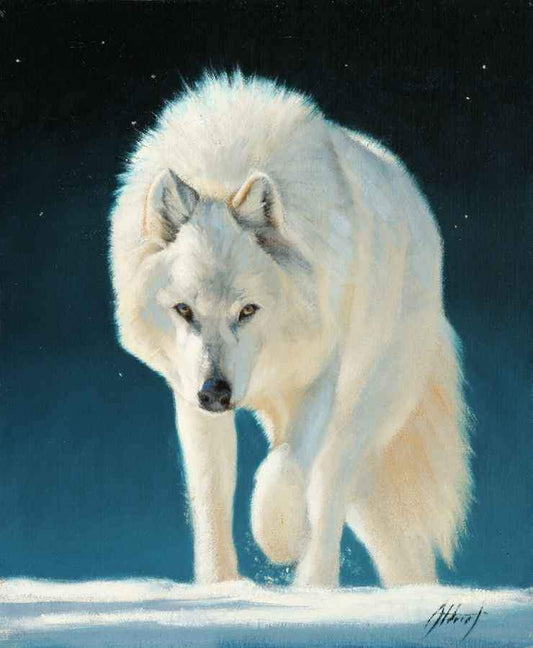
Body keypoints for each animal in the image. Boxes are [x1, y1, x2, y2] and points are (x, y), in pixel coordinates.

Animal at [109, 72, 472, 588]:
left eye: (248, 310)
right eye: (183, 310)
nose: (216, 392)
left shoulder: (318, 379)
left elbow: (282, 470)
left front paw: (278, 538)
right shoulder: (188, 394)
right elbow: (211, 496)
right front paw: (220, 588)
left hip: (355, 416)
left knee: (328, 494)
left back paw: (314, 588)